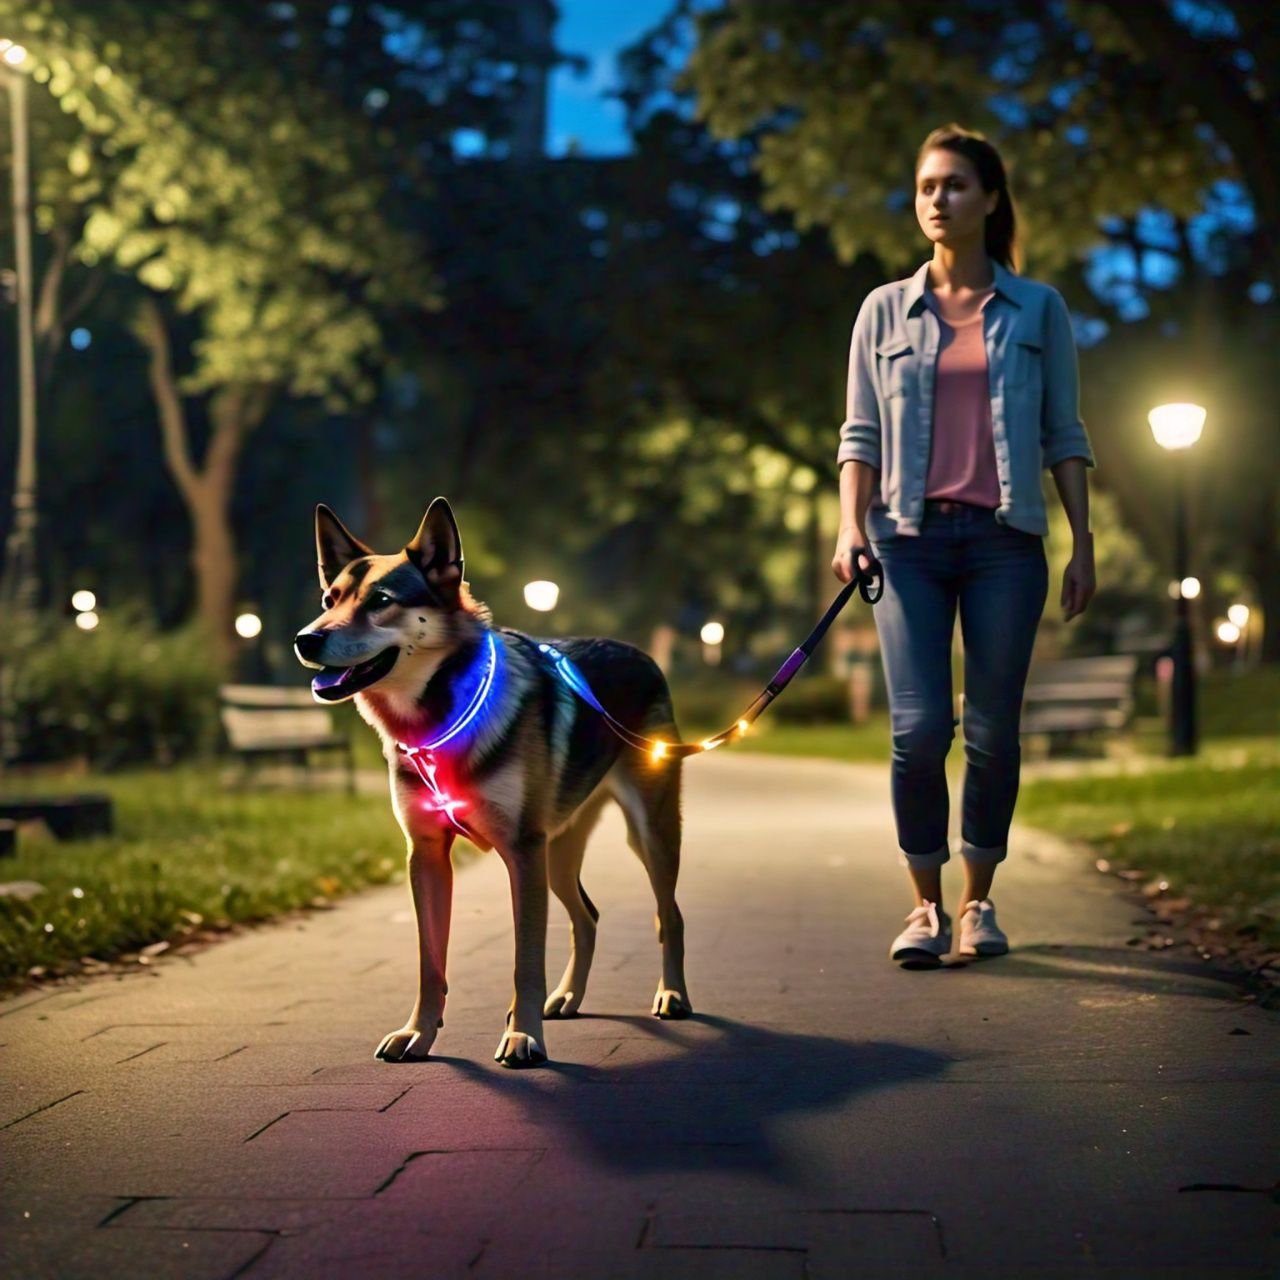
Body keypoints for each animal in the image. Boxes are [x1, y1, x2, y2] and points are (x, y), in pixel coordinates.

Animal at [293, 499, 691, 1070]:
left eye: (381, 602)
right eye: (330, 599)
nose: (306, 639)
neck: (439, 717)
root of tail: (641, 654)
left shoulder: (521, 853)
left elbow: (526, 960)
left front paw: (522, 1038)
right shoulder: (427, 854)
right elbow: (429, 962)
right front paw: (418, 1033)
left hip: (647, 835)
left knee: (669, 915)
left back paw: (673, 995)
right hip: (558, 853)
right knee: (588, 917)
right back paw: (568, 998)